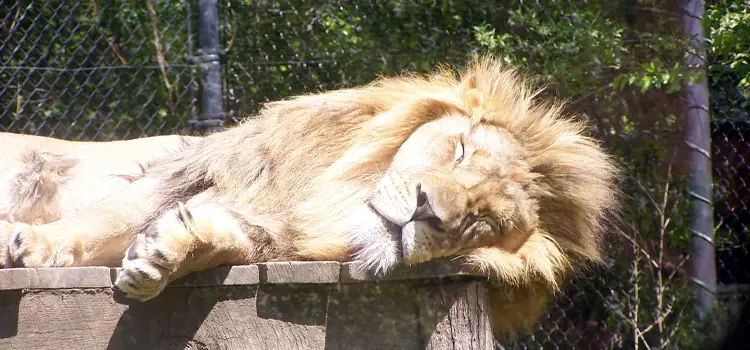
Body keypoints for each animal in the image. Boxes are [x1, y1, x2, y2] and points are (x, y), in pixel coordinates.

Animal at [0, 58, 620, 340]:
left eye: (483, 220)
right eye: (461, 150)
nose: (428, 210)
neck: (333, 201)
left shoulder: (271, 232)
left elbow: (223, 241)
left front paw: (165, 252)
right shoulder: (192, 165)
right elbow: (105, 218)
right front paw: (33, 245)